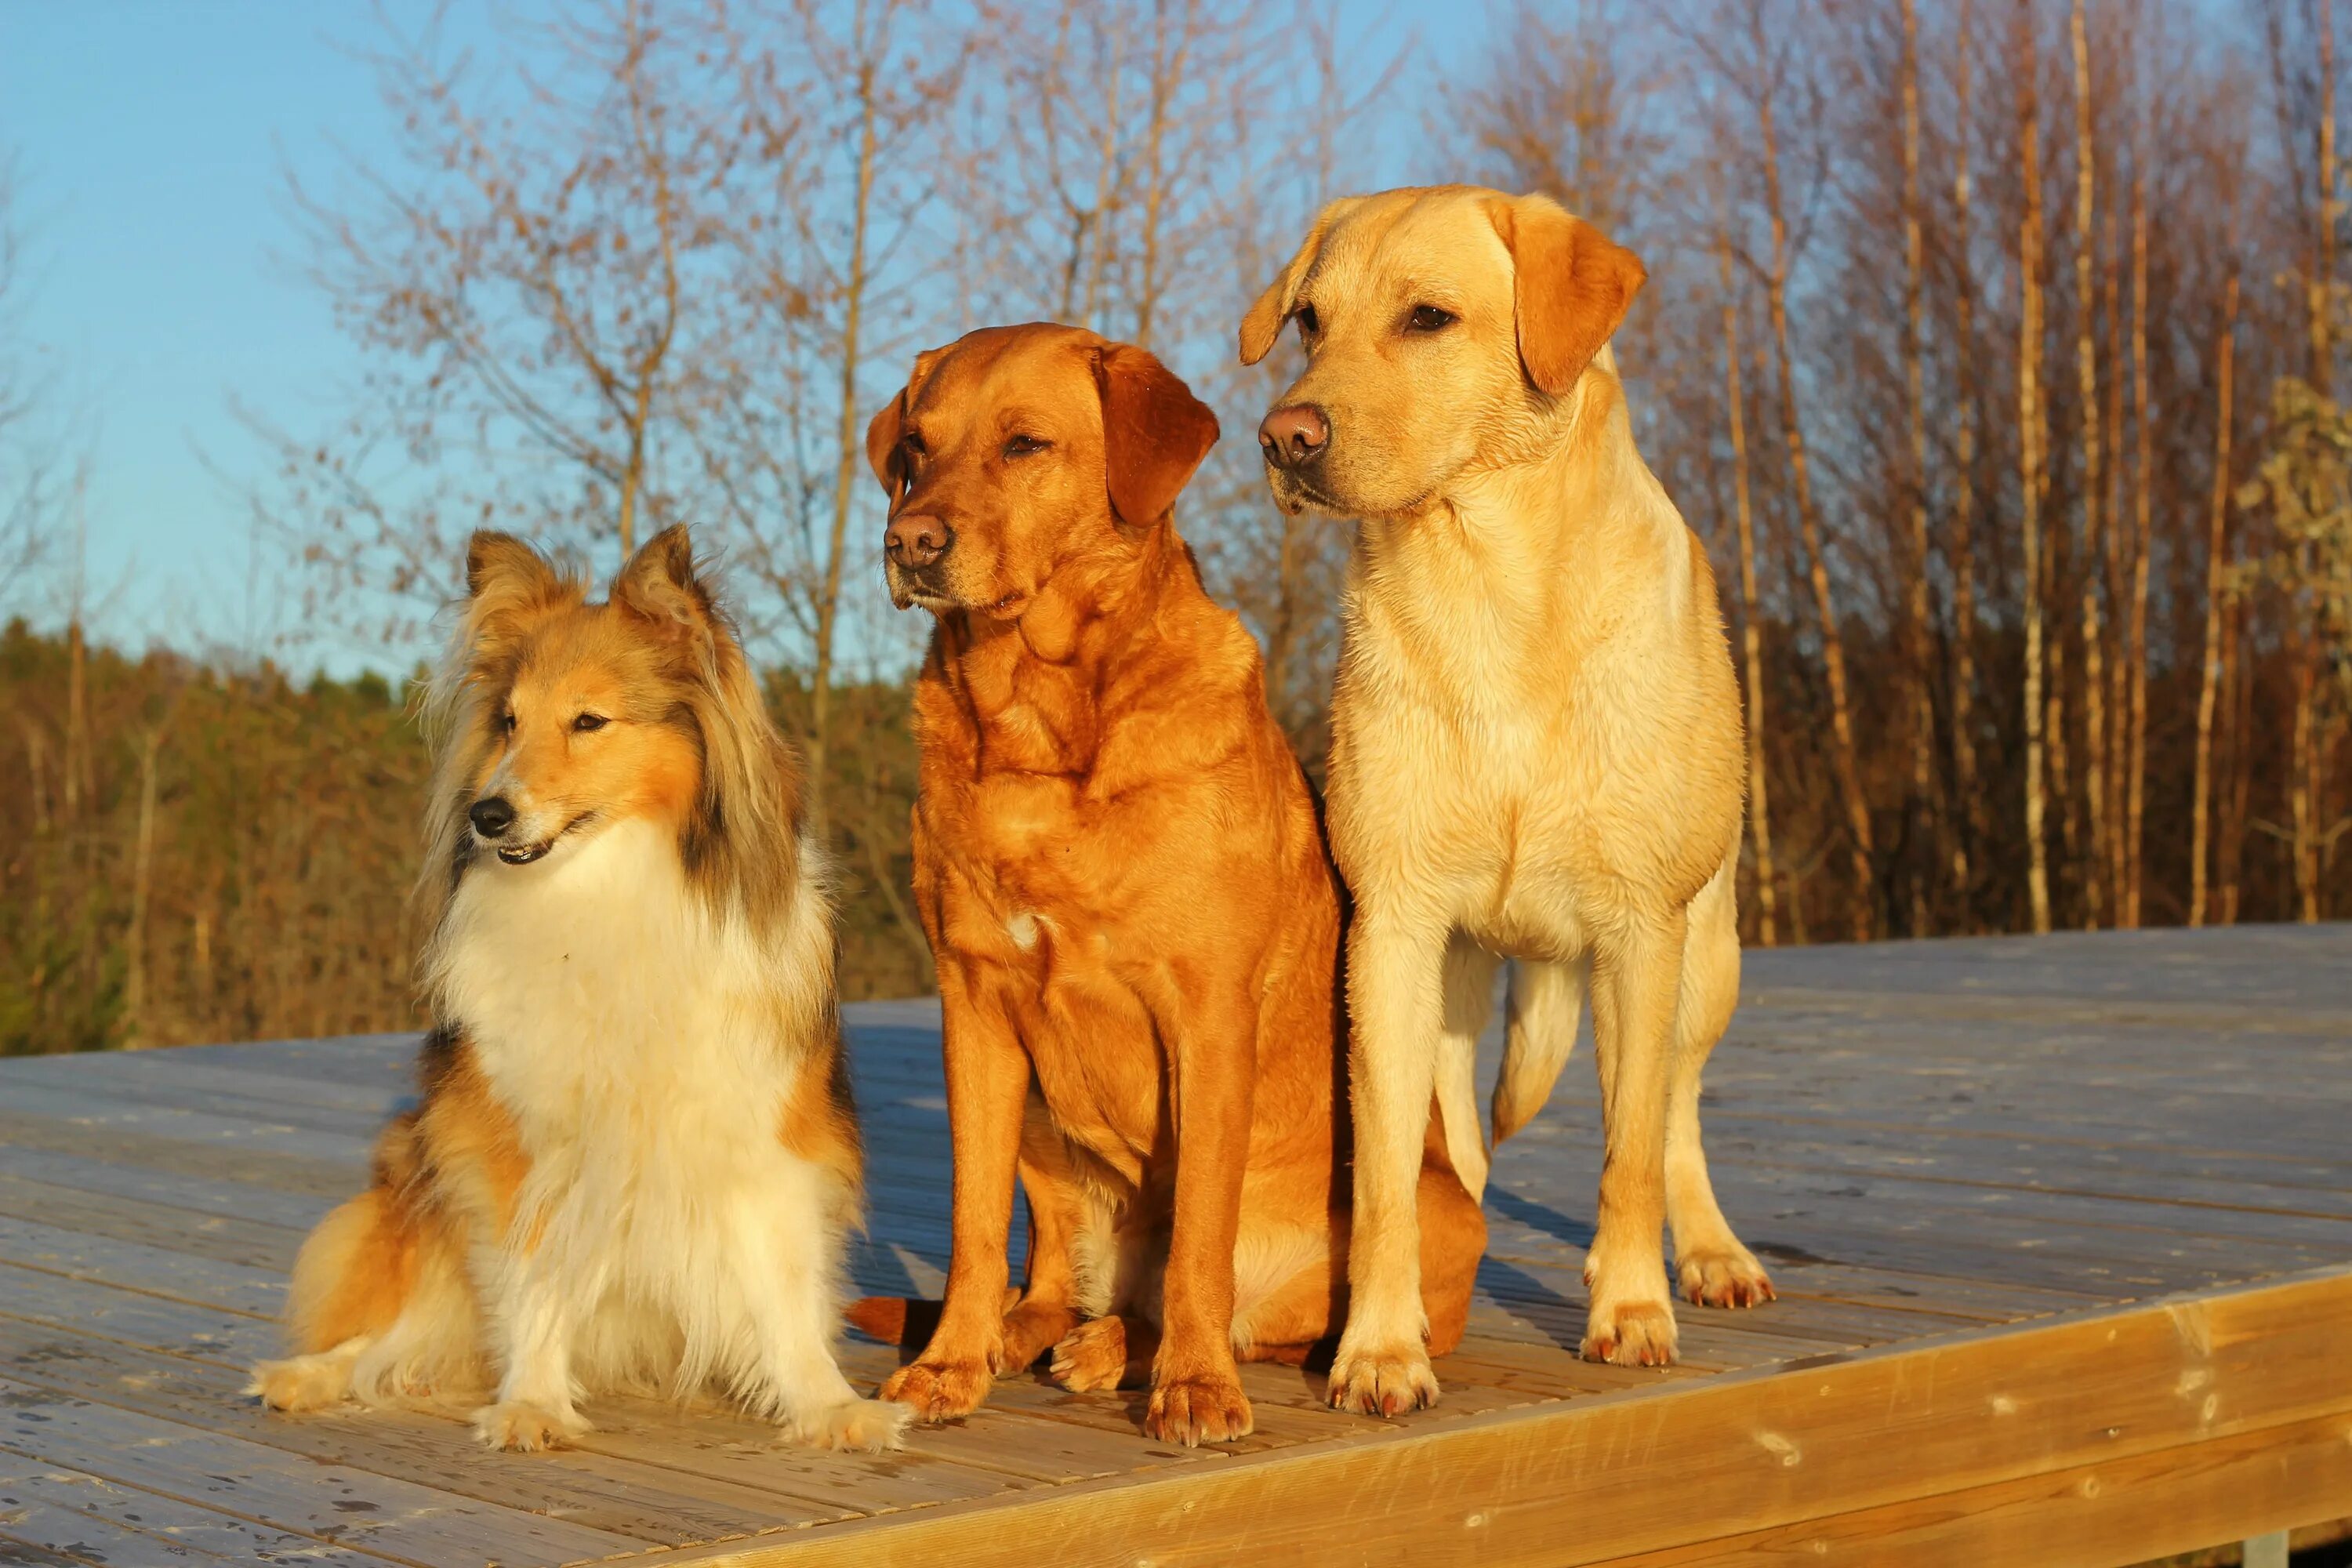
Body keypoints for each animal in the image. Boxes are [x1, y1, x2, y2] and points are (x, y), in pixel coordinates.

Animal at [245, 526, 908, 1457]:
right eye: (509, 722)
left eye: (589, 721)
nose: (488, 814)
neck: (608, 885)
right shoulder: (514, 1141)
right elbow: (532, 1280)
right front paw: (533, 1402)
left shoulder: (765, 1127)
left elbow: (786, 1280)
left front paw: (828, 1405)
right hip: (421, 1163)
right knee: (397, 1334)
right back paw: (305, 1375)